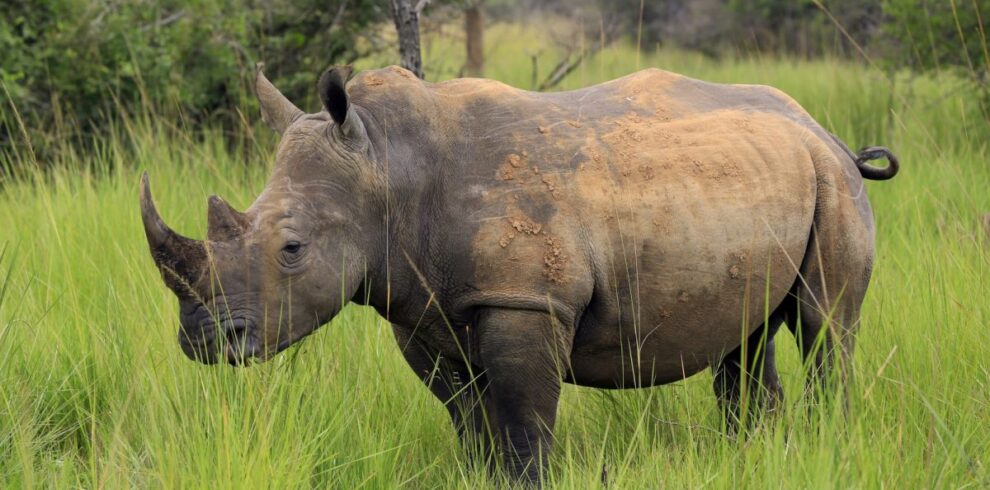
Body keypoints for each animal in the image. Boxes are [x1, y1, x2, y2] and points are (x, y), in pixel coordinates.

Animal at [140, 63, 898, 482]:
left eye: (291, 249)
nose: (203, 340)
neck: (387, 166)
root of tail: (822, 129)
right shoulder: (421, 308)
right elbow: (469, 419)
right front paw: (479, 475)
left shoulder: (525, 300)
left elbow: (525, 421)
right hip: (753, 182)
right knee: (745, 337)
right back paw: (755, 450)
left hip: (831, 181)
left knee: (827, 325)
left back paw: (826, 440)